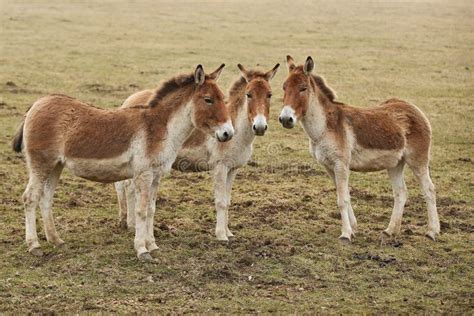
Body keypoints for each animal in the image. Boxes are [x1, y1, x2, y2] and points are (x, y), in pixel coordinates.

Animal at [13, 65, 236, 262]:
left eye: (223, 99)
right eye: (208, 100)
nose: (228, 134)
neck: (158, 128)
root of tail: (36, 104)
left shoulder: (156, 176)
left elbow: (151, 210)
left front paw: (152, 245)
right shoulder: (144, 174)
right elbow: (141, 210)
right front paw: (142, 250)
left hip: (55, 166)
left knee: (46, 199)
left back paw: (56, 240)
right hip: (41, 164)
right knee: (30, 198)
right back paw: (34, 245)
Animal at [114, 65, 278, 242]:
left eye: (269, 95)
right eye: (249, 94)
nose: (260, 127)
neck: (237, 131)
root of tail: (130, 99)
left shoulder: (233, 169)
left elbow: (227, 201)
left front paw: (228, 233)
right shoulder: (220, 168)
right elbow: (220, 202)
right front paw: (221, 236)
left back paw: (127, 223)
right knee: (127, 187)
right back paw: (130, 224)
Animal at [278, 55, 440, 242]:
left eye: (303, 88)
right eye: (284, 87)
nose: (285, 119)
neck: (325, 127)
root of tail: (413, 108)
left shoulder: (341, 165)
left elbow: (341, 200)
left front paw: (346, 234)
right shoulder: (328, 167)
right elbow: (345, 196)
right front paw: (353, 227)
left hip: (417, 160)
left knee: (429, 190)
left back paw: (432, 231)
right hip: (395, 164)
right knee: (401, 193)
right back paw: (390, 231)